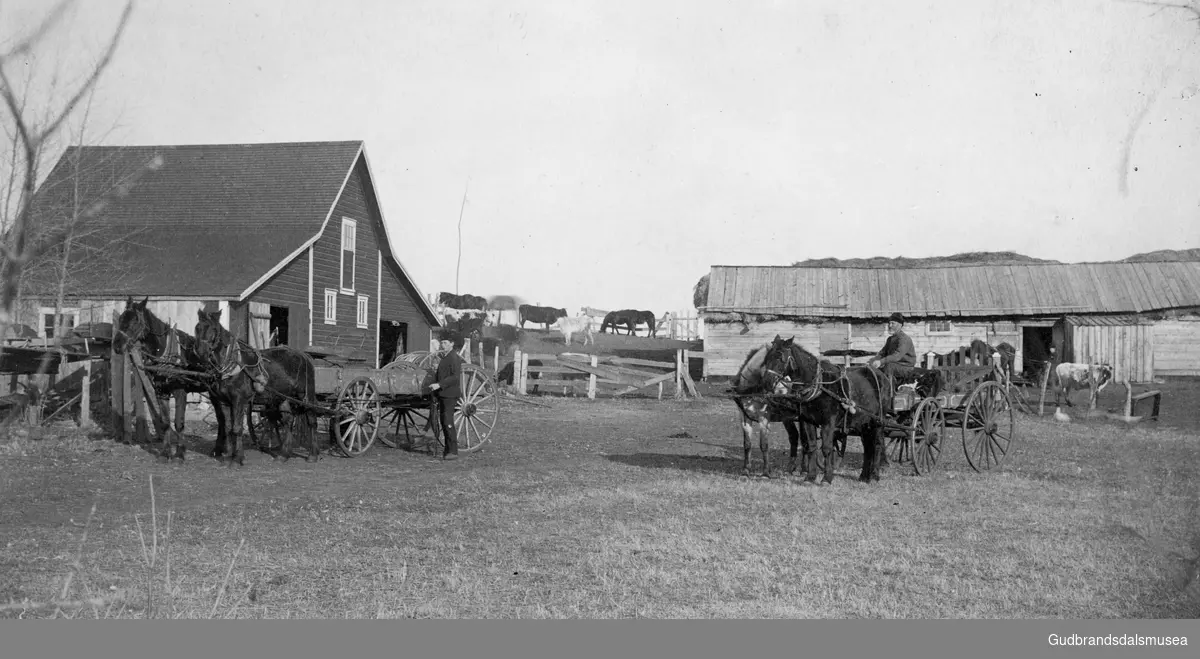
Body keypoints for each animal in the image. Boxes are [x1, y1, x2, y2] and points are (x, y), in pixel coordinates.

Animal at [112, 297, 208, 463]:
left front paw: (180, 454)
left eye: (135, 321)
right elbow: (165, 423)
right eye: (121, 318)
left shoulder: (180, 392)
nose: (117, 346)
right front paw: (165, 453)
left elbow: (178, 423)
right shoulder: (161, 392)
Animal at [192, 309, 316, 468]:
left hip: (306, 396)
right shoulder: (223, 401)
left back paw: (313, 455)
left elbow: (237, 428)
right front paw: (227, 457)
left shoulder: (239, 400)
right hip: (282, 397)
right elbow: (227, 427)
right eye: (197, 328)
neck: (232, 363)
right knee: (288, 421)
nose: (200, 352)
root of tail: (304, 356)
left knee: (311, 421)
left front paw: (237, 459)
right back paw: (283, 455)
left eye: (213, 329)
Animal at [763, 333, 897, 482]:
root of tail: (881, 375)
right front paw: (810, 476)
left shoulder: (829, 421)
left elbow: (827, 448)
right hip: (864, 422)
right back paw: (863, 476)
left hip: (878, 420)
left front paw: (827, 478)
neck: (819, 386)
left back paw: (874, 475)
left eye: (779, 356)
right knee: (867, 447)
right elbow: (811, 446)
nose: (766, 381)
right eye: (767, 357)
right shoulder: (807, 420)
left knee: (878, 444)